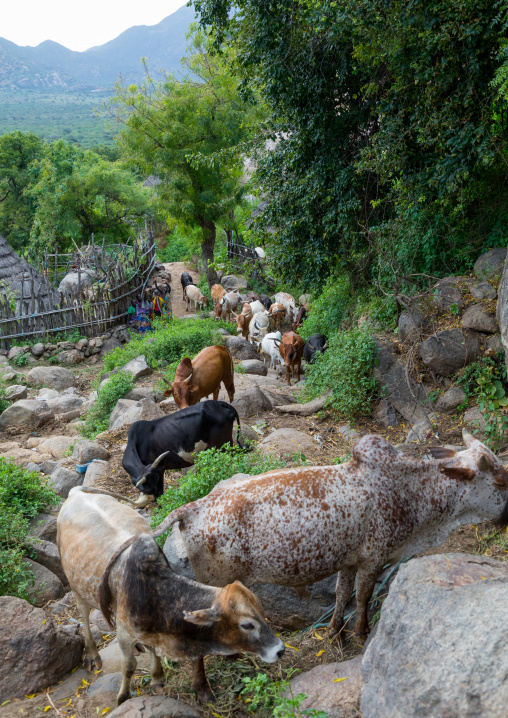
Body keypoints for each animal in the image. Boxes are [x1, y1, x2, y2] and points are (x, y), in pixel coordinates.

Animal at [57, 488, 284, 705]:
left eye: (262, 612)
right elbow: (129, 667)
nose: (280, 650)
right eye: (247, 625)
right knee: (85, 616)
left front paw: (157, 678)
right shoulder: (123, 635)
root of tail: (76, 493)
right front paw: (123, 697)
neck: (155, 593)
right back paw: (92, 654)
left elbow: (154, 653)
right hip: (76, 589)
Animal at [144, 431, 508, 644]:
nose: (507, 515)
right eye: (501, 479)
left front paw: (335, 630)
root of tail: (191, 508)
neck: (411, 492)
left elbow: (342, 595)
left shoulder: (350, 560)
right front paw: (360, 633)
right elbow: (362, 598)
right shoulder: (374, 559)